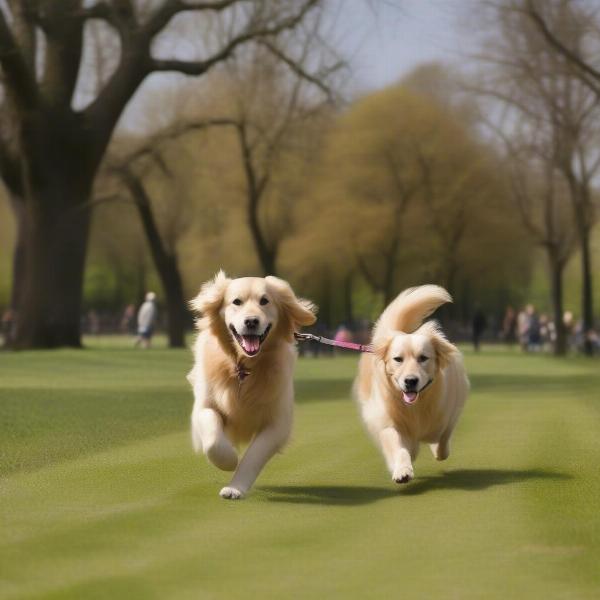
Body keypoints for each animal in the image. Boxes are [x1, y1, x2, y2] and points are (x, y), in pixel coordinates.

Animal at [189, 270, 318, 500]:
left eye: (264, 301)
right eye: (236, 302)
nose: (251, 321)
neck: (243, 368)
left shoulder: (277, 423)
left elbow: (254, 456)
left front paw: (235, 487)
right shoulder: (204, 407)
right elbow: (213, 438)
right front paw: (229, 459)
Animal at [356, 284, 468, 486]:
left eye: (423, 358)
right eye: (398, 359)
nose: (410, 381)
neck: (417, 406)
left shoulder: (451, 412)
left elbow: (443, 440)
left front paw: (438, 450)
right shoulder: (389, 422)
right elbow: (399, 447)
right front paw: (402, 470)